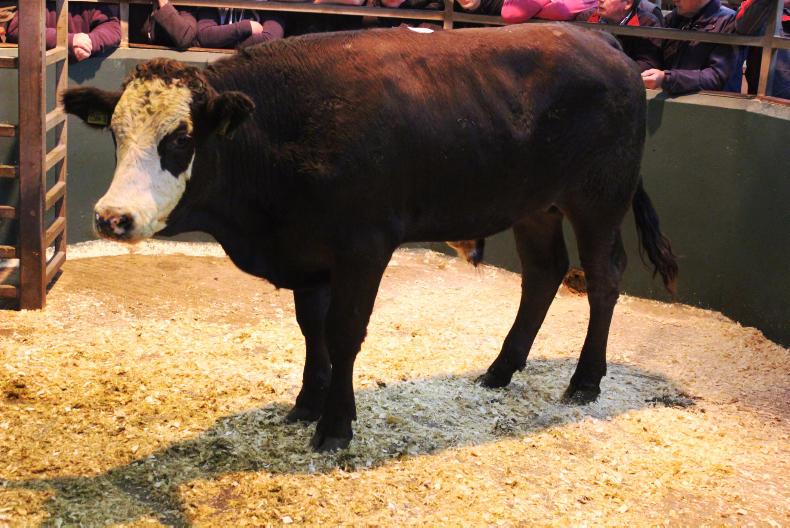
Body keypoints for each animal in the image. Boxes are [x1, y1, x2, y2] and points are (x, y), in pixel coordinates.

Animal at [62, 23, 678, 451]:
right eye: (116, 134)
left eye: (181, 139)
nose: (113, 217)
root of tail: (600, 40)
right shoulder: (308, 252)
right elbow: (311, 330)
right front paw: (308, 402)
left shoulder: (363, 246)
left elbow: (344, 333)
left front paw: (336, 423)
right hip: (535, 205)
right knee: (544, 273)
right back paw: (500, 370)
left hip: (599, 199)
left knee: (603, 277)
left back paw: (585, 381)